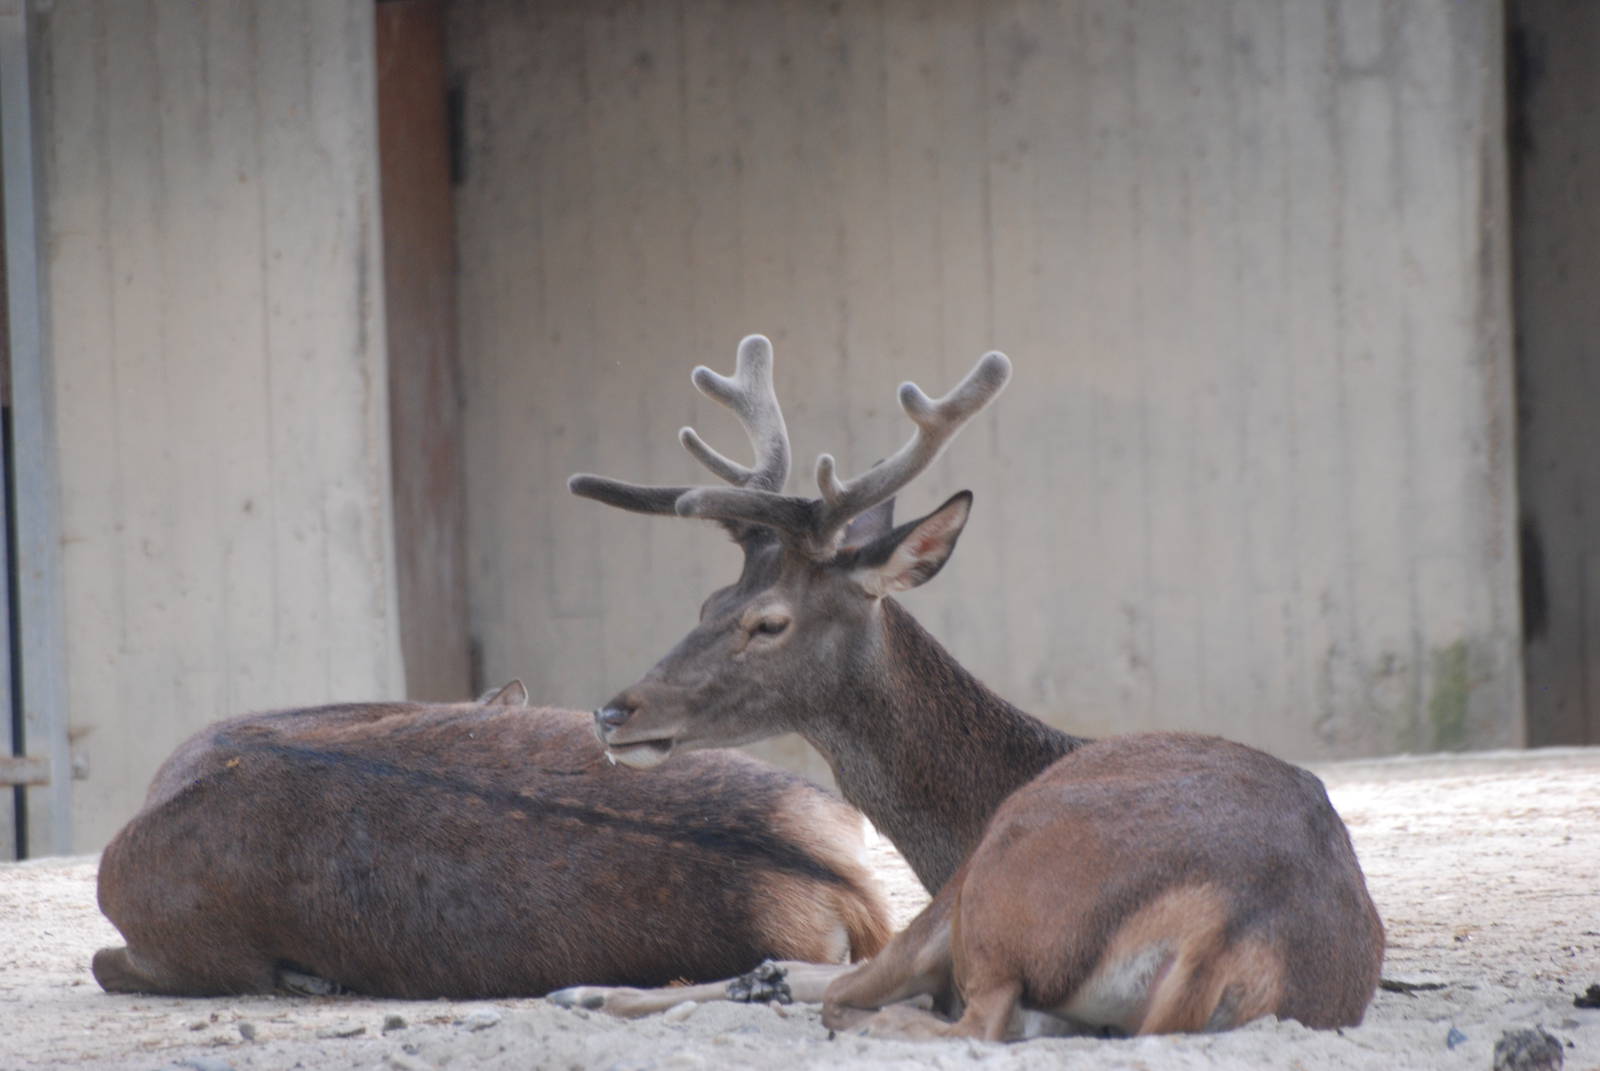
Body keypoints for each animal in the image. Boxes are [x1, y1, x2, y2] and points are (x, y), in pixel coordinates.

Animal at [552, 335, 1385, 1038]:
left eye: (768, 622)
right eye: (707, 603)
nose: (612, 711)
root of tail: (1227, 921)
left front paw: (591, 989)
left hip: (991, 881)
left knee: (943, 1013)